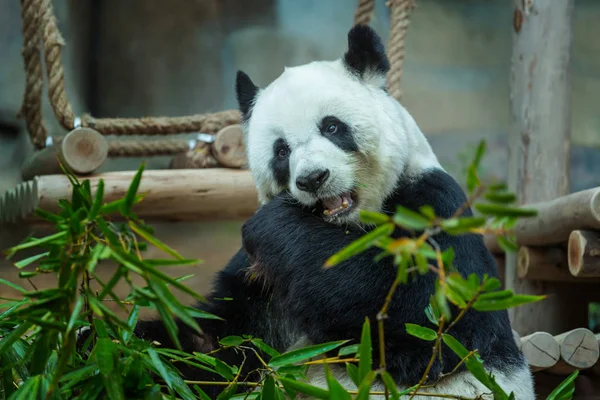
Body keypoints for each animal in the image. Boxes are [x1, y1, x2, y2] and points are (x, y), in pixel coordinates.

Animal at [130, 25, 536, 400]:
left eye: (332, 126)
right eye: (281, 150)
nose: (312, 178)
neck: (346, 228)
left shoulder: (431, 206)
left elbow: (436, 321)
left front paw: (276, 223)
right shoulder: (259, 279)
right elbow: (221, 346)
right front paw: (134, 349)